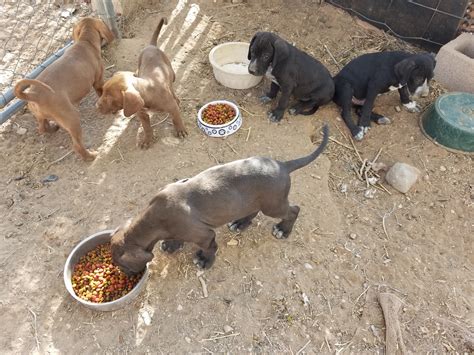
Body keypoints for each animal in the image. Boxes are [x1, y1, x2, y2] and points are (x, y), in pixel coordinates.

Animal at [96, 17, 187, 149]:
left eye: (109, 97)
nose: (96, 106)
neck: (147, 91)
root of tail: (151, 45)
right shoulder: (142, 115)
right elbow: (147, 128)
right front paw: (147, 140)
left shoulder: (172, 106)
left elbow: (177, 118)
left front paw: (181, 130)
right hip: (139, 69)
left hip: (172, 74)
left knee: (172, 87)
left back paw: (177, 98)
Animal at [110, 125, 328, 276]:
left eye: (123, 264)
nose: (127, 275)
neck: (154, 217)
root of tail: (282, 165)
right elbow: (176, 238)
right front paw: (172, 245)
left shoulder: (204, 235)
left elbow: (210, 248)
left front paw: (205, 261)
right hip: (252, 201)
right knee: (252, 211)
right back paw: (240, 223)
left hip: (273, 205)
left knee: (294, 210)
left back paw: (283, 229)